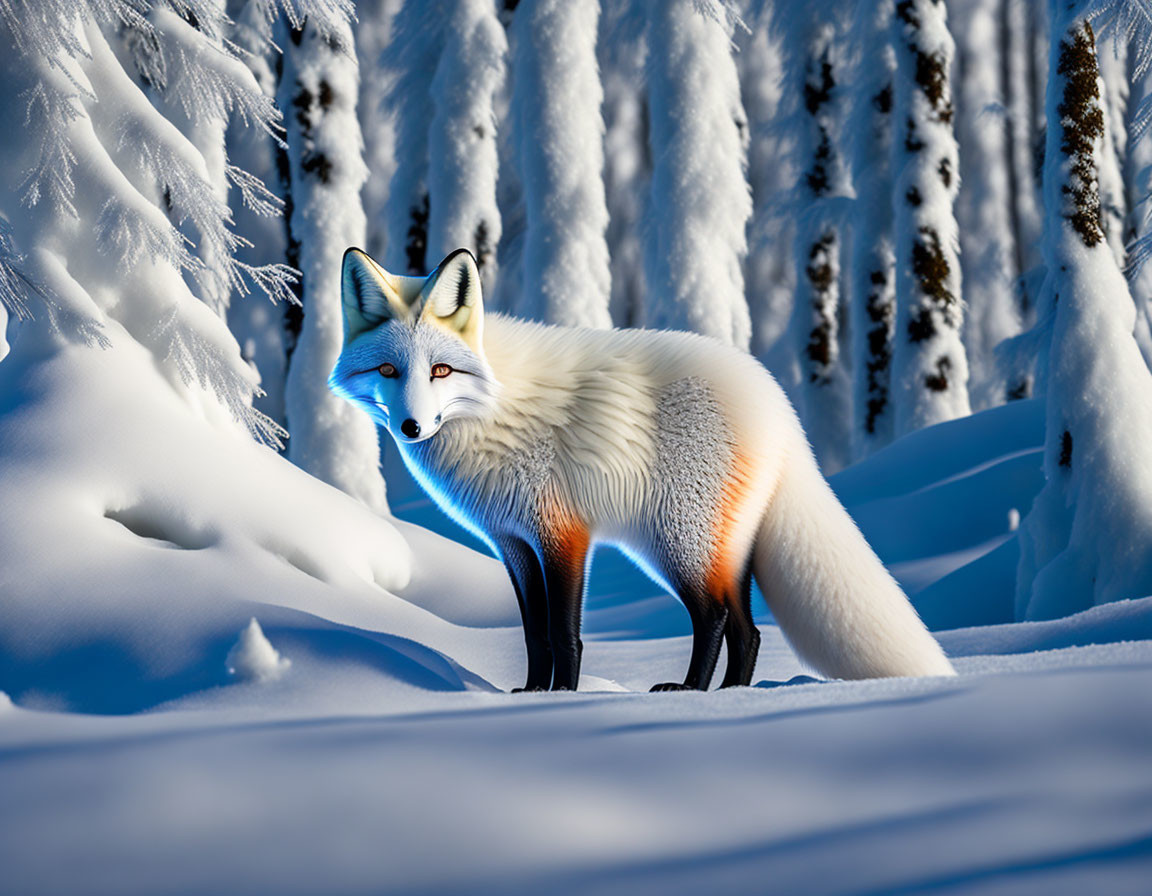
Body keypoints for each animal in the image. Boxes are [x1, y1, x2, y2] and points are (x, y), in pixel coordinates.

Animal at [331, 246, 953, 691]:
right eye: (388, 371)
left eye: (440, 371)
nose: (411, 426)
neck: (493, 407)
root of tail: (775, 403)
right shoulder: (512, 541)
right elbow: (534, 635)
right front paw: (529, 696)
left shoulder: (563, 534)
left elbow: (564, 634)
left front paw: (562, 699)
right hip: (714, 546)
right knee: (749, 631)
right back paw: (730, 694)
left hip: (678, 543)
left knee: (715, 617)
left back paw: (691, 691)